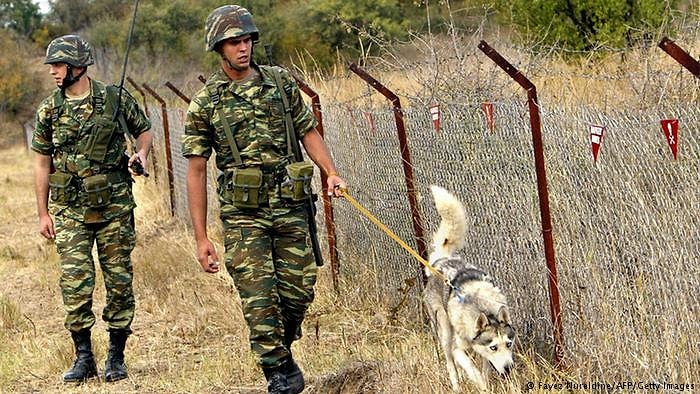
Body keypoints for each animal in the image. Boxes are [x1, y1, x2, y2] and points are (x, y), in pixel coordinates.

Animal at [422, 185, 516, 390]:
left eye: (509, 344)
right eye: (494, 347)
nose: (508, 368)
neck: (483, 309)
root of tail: (442, 260)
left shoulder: (483, 353)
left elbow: (485, 369)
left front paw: (486, 383)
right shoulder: (459, 349)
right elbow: (471, 369)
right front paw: (480, 385)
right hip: (444, 332)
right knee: (450, 364)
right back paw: (456, 386)